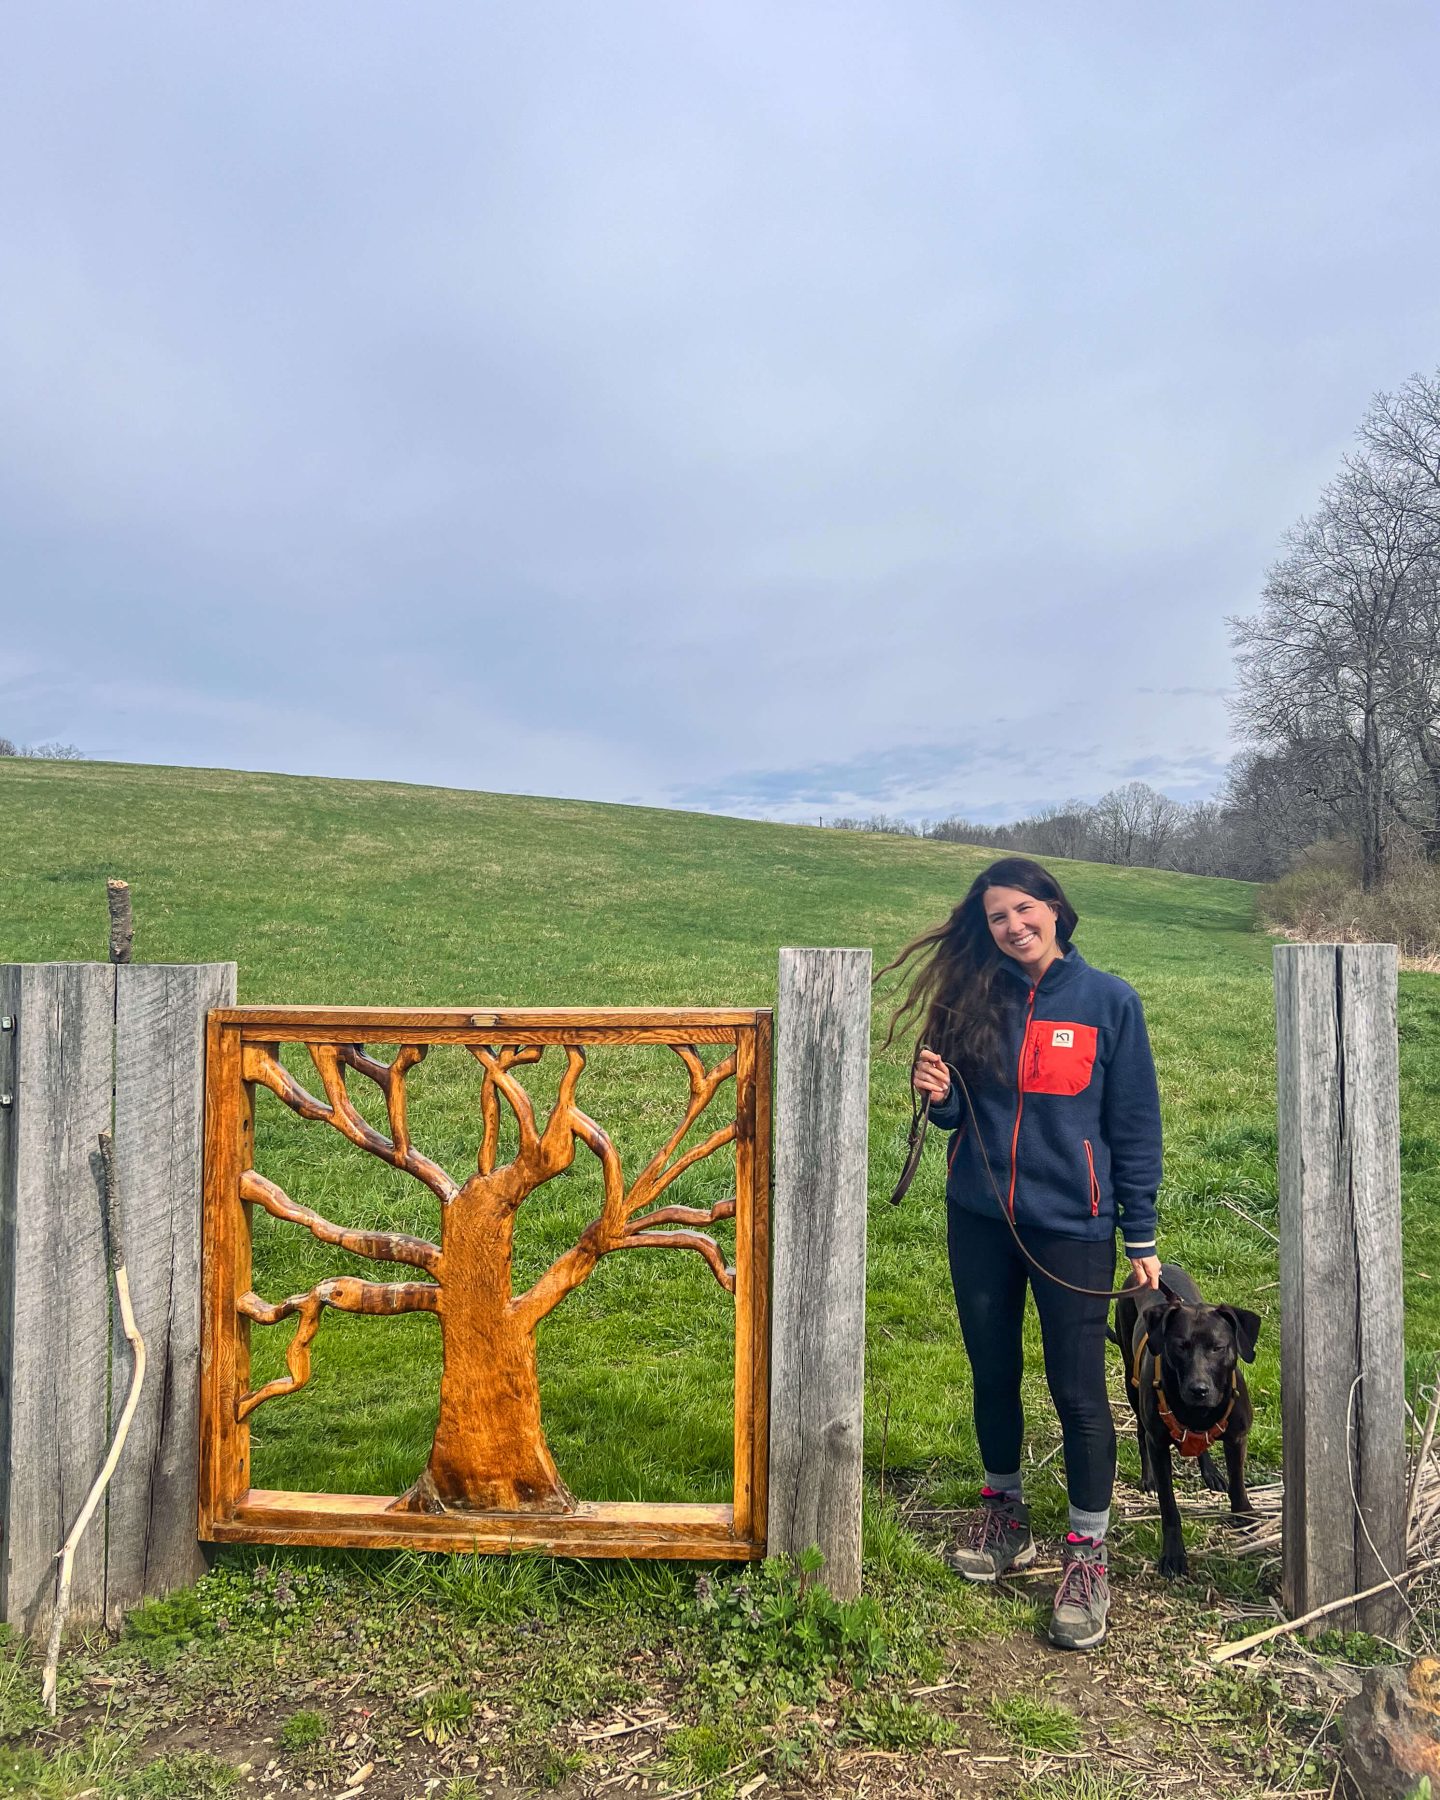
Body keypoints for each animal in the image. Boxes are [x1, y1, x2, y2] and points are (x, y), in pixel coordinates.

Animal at [1116, 1267, 1260, 1576]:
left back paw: (1211, 1472)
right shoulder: (1159, 1445)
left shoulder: (1237, 1437)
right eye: (1180, 1346)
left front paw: (1245, 1518)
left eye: (1218, 1347)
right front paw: (1173, 1555)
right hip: (1131, 1380)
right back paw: (1148, 1478)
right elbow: (1169, 1507)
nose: (1199, 1389)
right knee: (1140, 1432)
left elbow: (1238, 1482)